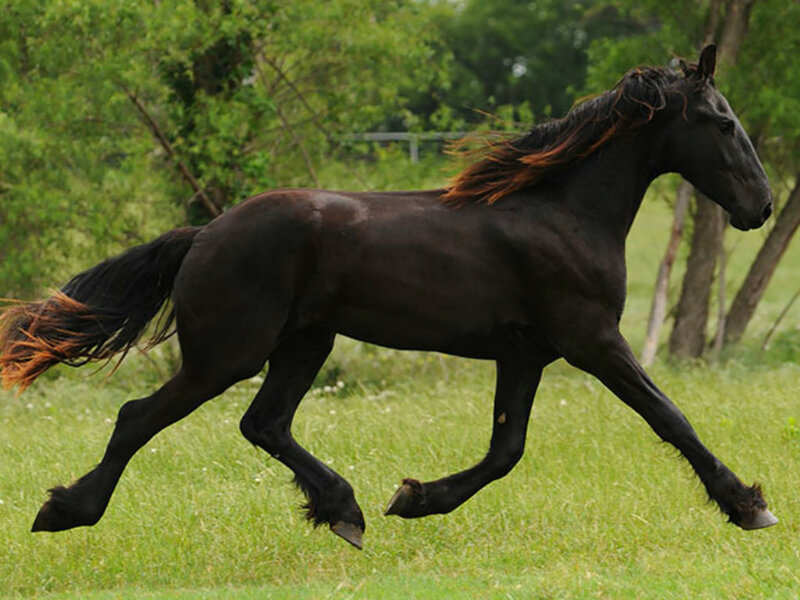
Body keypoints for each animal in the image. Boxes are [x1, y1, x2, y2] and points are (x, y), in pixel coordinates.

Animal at [0, 45, 776, 550]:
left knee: (263, 424)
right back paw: (65, 511)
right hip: (227, 353)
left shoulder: (526, 355)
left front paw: (414, 499)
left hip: (305, 342)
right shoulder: (592, 341)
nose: (762, 206)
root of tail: (206, 233)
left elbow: (506, 450)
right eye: (723, 121)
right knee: (141, 416)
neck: (563, 211)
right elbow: (670, 417)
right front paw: (748, 505)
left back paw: (344, 511)